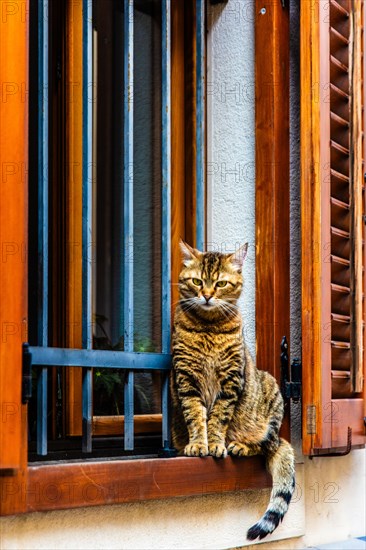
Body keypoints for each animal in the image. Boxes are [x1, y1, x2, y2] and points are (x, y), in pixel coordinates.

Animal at [171, 243, 294, 544]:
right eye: (197, 281)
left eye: (221, 283)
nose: (206, 295)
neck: (208, 328)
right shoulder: (186, 380)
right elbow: (196, 416)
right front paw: (198, 444)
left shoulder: (230, 383)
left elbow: (218, 418)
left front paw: (215, 443)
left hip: (272, 397)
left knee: (267, 444)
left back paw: (240, 445)